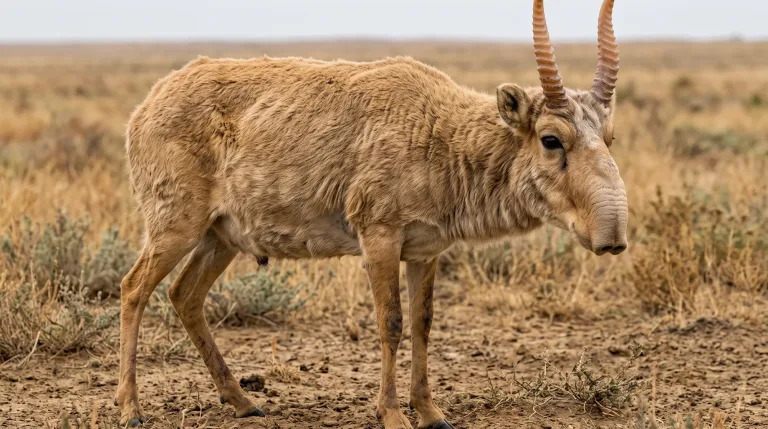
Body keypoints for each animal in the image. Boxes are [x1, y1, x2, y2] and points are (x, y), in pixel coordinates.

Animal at [114, 0, 625, 427]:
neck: (444, 135)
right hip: (175, 226)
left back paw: (243, 401)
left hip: (220, 237)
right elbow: (391, 322)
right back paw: (130, 408)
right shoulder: (379, 236)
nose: (613, 237)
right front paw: (393, 415)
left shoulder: (425, 250)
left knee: (184, 295)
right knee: (133, 288)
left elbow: (423, 322)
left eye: (609, 136)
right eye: (551, 139)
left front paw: (432, 413)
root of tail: (144, 107)